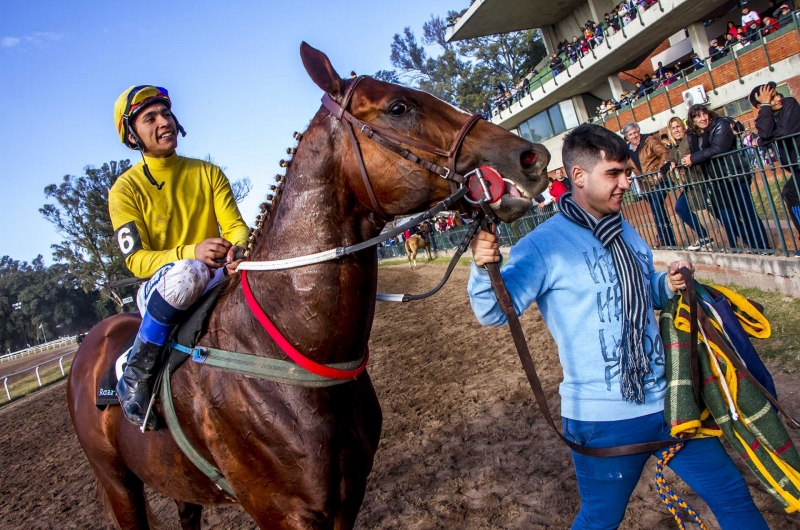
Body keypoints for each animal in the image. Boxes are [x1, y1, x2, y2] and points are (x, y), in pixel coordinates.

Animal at [69, 42, 552, 528]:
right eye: (399, 107)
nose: (530, 157)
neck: (284, 352)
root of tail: (93, 341)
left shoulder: (347, 497)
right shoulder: (283, 513)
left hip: (176, 482)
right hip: (119, 485)